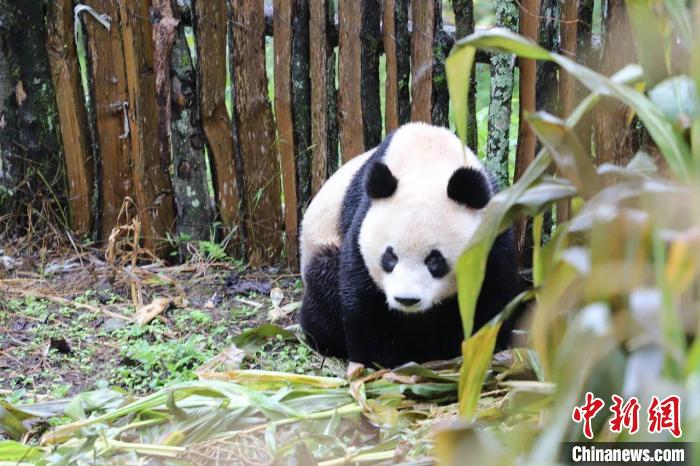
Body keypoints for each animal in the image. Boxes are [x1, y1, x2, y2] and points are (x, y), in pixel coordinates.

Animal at [298, 121, 516, 368]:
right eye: (390, 257)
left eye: (435, 260)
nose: (407, 300)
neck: (427, 161)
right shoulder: (362, 219)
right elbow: (365, 298)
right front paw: (381, 361)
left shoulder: (494, 225)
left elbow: (491, 295)